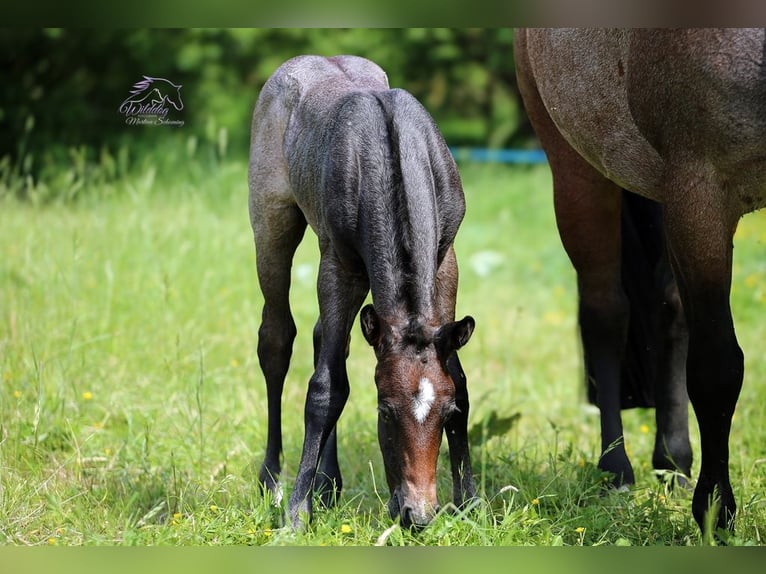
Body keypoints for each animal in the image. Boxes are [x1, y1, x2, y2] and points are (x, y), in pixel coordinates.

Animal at [248, 55, 476, 530]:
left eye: (446, 413)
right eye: (384, 411)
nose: (416, 515)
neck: (393, 154)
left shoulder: (446, 259)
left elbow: (459, 377)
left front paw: (470, 502)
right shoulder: (340, 264)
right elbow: (326, 388)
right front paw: (296, 513)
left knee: (325, 338)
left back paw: (327, 483)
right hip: (271, 223)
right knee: (277, 339)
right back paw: (273, 481)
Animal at [514, 28, 766, 536]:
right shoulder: (701, 191)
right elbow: (716, 369)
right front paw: (716, 511)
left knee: (670, 313)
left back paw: (673, 463)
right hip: (579, 173)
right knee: (606, 315)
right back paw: (616, 473)